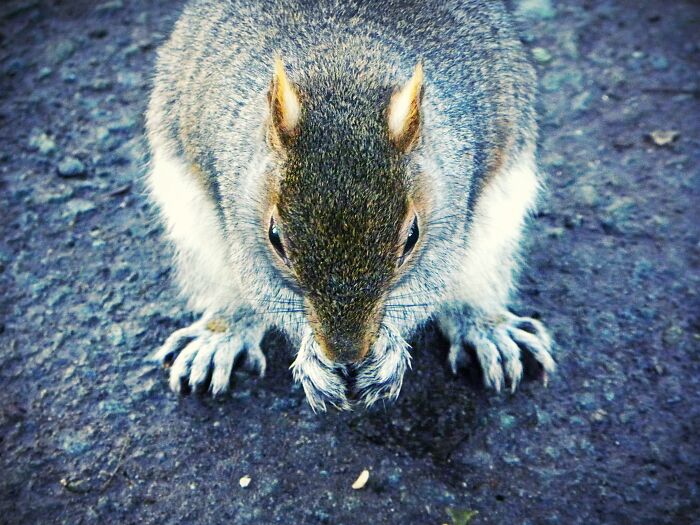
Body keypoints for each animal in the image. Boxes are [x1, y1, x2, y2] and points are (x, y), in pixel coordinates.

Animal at [146, 0, 556, 411]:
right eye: (275, 238)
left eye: (412, 237)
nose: (345, 353)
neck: (344, 69)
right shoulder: (241, 216)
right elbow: (263, 287)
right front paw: (311, 355)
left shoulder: (449, 212)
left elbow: (429, 284)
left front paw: (389, 348)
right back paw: (222, 332)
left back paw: (486, 327)